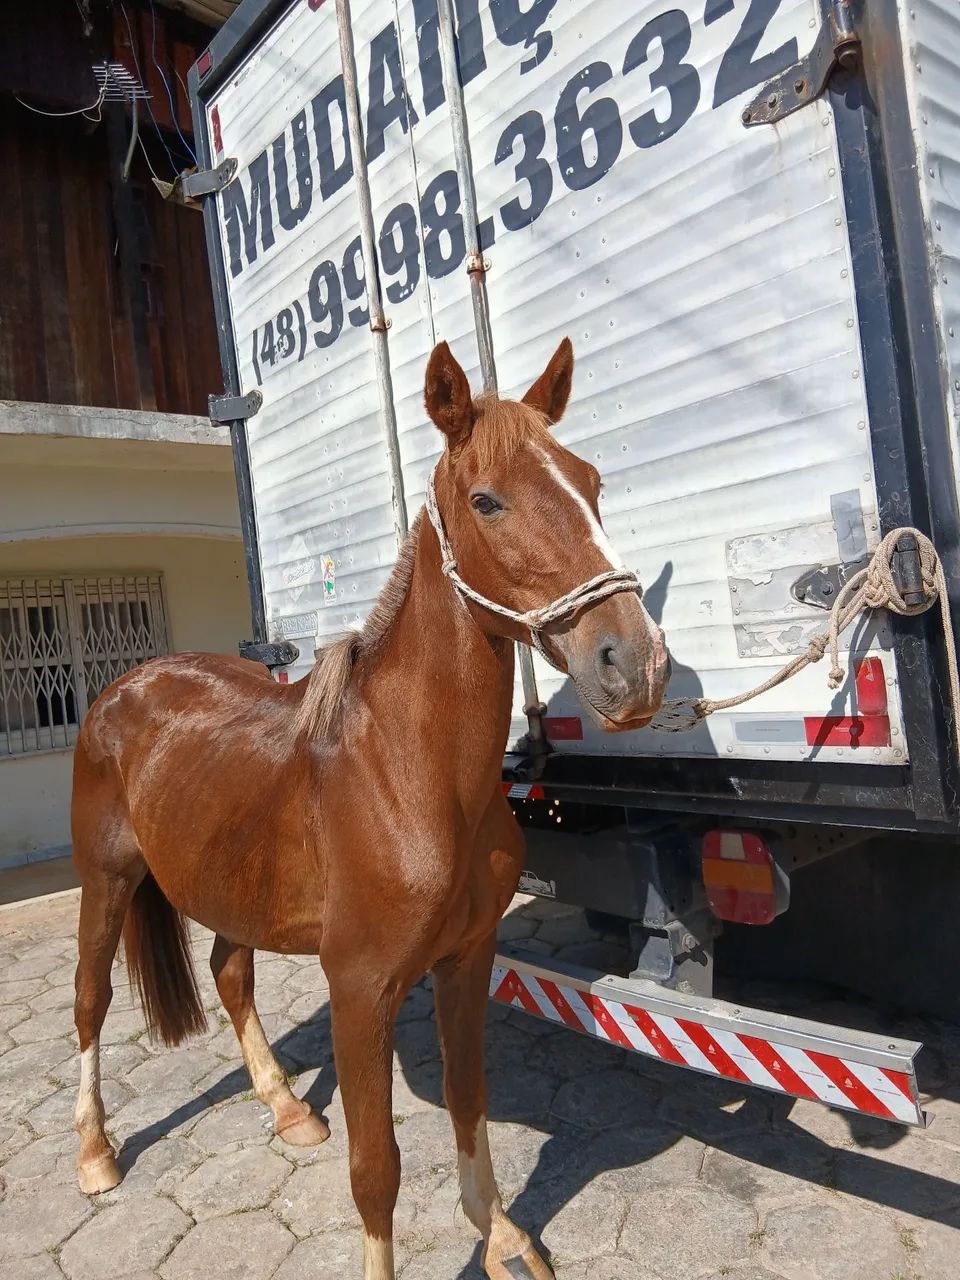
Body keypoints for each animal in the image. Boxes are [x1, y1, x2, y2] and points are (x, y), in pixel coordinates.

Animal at [69, 337, 671, 1280]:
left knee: (230, 974)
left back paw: (286, 1109)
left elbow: (468, 1100)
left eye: (591, 481)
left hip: (230, 889)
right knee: (90, 1000)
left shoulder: (465, 959)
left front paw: (502, 1237)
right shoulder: (359, 986)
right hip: (105, 881)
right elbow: (375, 1168)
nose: (635, 664)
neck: (411, 776)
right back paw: (96, 1154)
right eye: (486, 500)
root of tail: (124, 685)